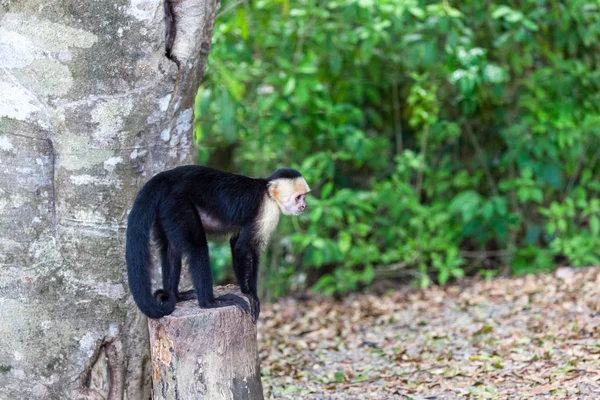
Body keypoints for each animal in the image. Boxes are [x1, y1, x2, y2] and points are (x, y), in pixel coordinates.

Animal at [125, 164, 312, 324]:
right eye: (298, 197)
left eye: (304, 197)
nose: (304, 205)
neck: (268, 193)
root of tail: (168, 176)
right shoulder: (268, 210)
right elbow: (243, 247)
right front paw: (250, 293)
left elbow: (236, 242)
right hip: (177, 202)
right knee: (197, 247)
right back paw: (209, 302)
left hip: (165, 208)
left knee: (172, 249)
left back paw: (176, 296)